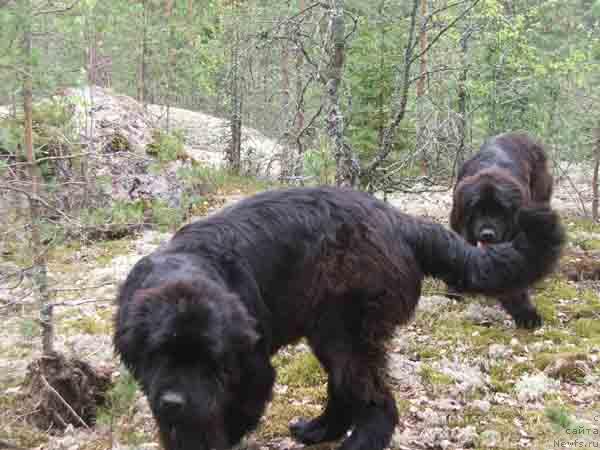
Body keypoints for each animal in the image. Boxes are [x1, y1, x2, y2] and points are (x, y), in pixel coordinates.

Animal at [113, 186, 564, 450]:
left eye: (210, 360)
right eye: (160, 353)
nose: (174, 401)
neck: (190, 265)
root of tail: (399, 220)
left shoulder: (250, 374)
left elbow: (218, 422)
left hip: (347, 329)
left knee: (375, 400)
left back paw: (356, 442)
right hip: (330, 330)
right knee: (345, 390)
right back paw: (318, 431)